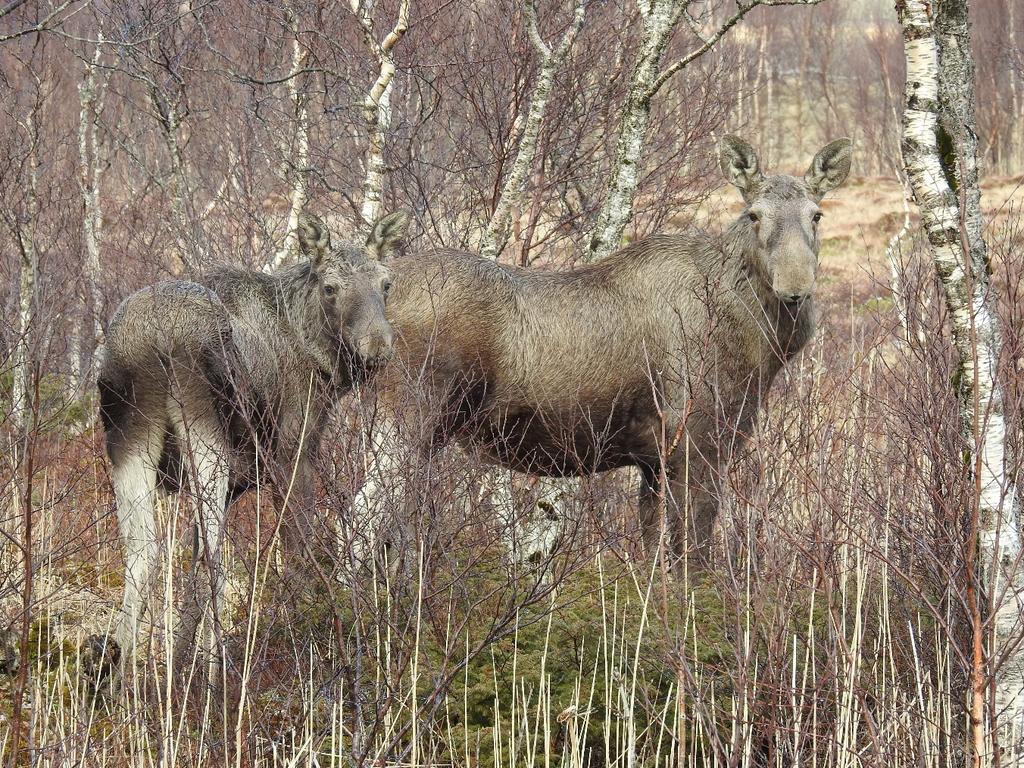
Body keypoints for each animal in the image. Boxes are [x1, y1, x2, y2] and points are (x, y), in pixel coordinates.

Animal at [90, 211, 405, 692]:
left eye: (385, 283)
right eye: (330, 287)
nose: (377, 349)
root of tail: (153, 340)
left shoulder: (240, 479)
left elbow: (191, 581)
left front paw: (179, 667)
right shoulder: (293, 453)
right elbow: (297, 553)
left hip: (130, 440)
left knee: (143, 553)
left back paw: (121, 682)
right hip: (206, 435)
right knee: (213, 559)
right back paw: (216, 673)